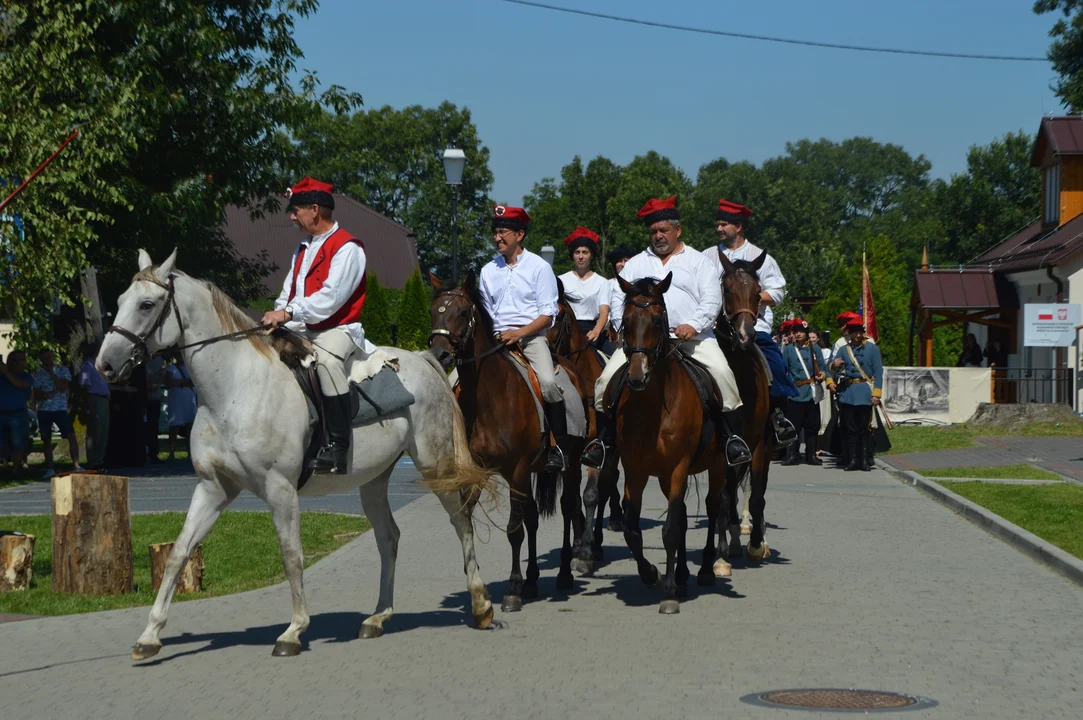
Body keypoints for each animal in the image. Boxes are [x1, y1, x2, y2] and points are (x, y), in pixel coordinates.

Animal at [97, 251, 496, 658]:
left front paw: (293, 631)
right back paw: (377, 617)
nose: (105, 364)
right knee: (389, 537)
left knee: (461, 521)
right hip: (374, 480)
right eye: (120, 301)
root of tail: (424, 359)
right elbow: (179, 553)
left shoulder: (280, 490)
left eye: (146, 304)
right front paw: (150, 635)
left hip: (436, 465)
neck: (237, 389)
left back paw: (481, 605)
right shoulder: (213, 487)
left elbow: (292, 556)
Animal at [426, 272, 593, 610]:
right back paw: (532, 580)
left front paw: (513, 588)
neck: (488, 396)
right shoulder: (476, 471)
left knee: (569, 507)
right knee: (533, 517)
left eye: (462, 313)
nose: (439, 354)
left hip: (569, 464)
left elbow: (514, 529)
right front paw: (477, 581)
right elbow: (468, 520)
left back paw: (564, 573)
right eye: (433, 310)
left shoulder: (516, 470)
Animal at [550, 277, 628, 571]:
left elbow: (592, 495)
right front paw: (576, 546)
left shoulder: (597, 450)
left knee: (606, 488)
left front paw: (585, 554)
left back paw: (597, 541)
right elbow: (572, 501)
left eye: (557, 316)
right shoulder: (568, 453)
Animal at [610, 272, 727, 610]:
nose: (638, 376)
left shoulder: (678, 467)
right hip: (663, 476)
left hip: (717, 465)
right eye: (625, 319)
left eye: (657, 319)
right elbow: (633, 529)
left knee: (713, 507)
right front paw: (651, 574)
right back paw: (684, 575)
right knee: (685, 515)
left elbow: (671, 530)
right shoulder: (635, 470)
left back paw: (704, 571)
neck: (654, 408)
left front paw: (669, 595)